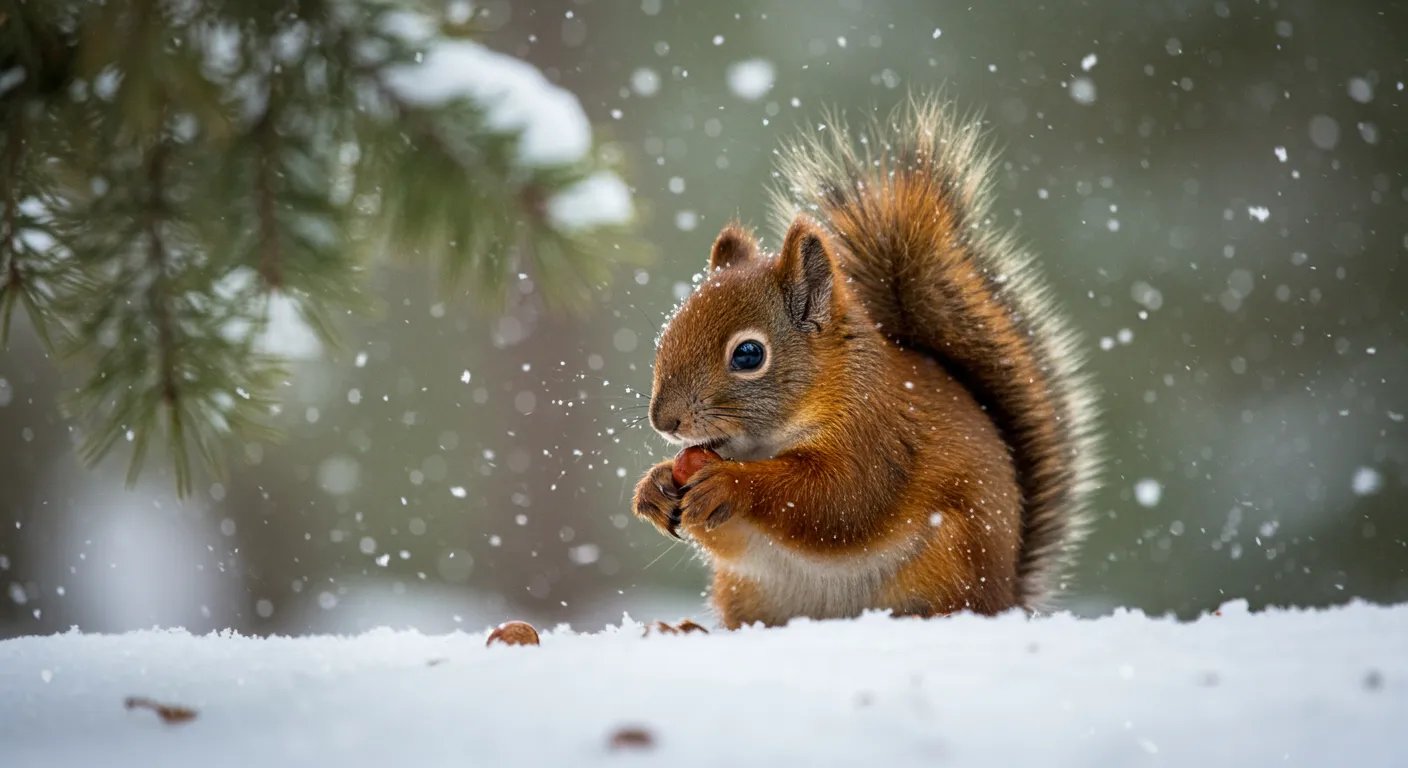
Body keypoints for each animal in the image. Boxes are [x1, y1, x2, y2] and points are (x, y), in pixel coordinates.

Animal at [632, 96, 1100, 629]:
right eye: (667, 334)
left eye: (748, 354)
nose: (664, 421)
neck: (763, 443)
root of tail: (1009, 600)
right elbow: (728, 537)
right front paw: (656, 485)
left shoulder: (877, 435)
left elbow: (839, 501)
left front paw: (730, 483)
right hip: (745, 590)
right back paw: (685, 628)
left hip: (953, 560)